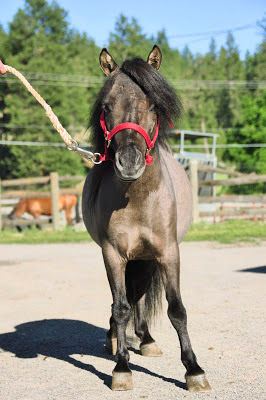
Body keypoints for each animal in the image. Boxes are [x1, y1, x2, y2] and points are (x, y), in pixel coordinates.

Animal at [82, 45, 211, 392]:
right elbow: (120, 306)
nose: (129, 162)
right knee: (126, 300)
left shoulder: (167, 253)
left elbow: (176, 309)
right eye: (106, 106)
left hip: (146, 259)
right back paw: (116, 340)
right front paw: (121, 368)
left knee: (138, 294)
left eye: (153, 105)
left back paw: (146, 339)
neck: (137, 199)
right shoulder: (113, 255)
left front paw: (194, 370)